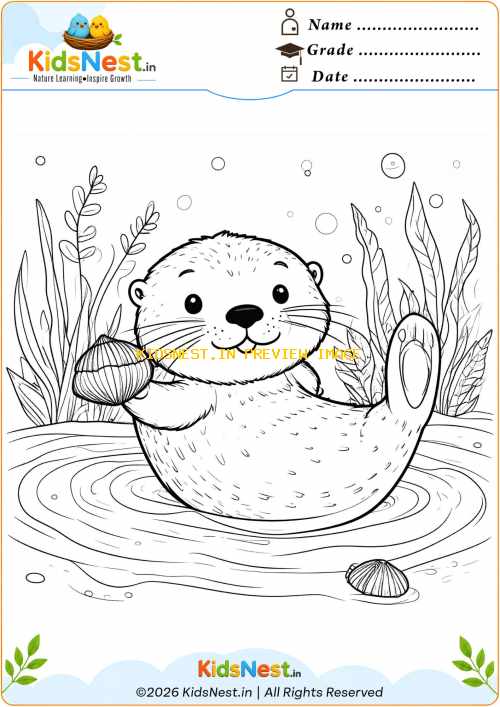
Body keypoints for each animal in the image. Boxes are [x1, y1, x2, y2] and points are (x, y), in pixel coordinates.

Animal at [83, 231, 441, 531]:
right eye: (192, 302)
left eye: (280, 292)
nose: (244, 311)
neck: (244, 384)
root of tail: (397, 418)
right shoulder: (201, 394)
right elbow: (167, 406)